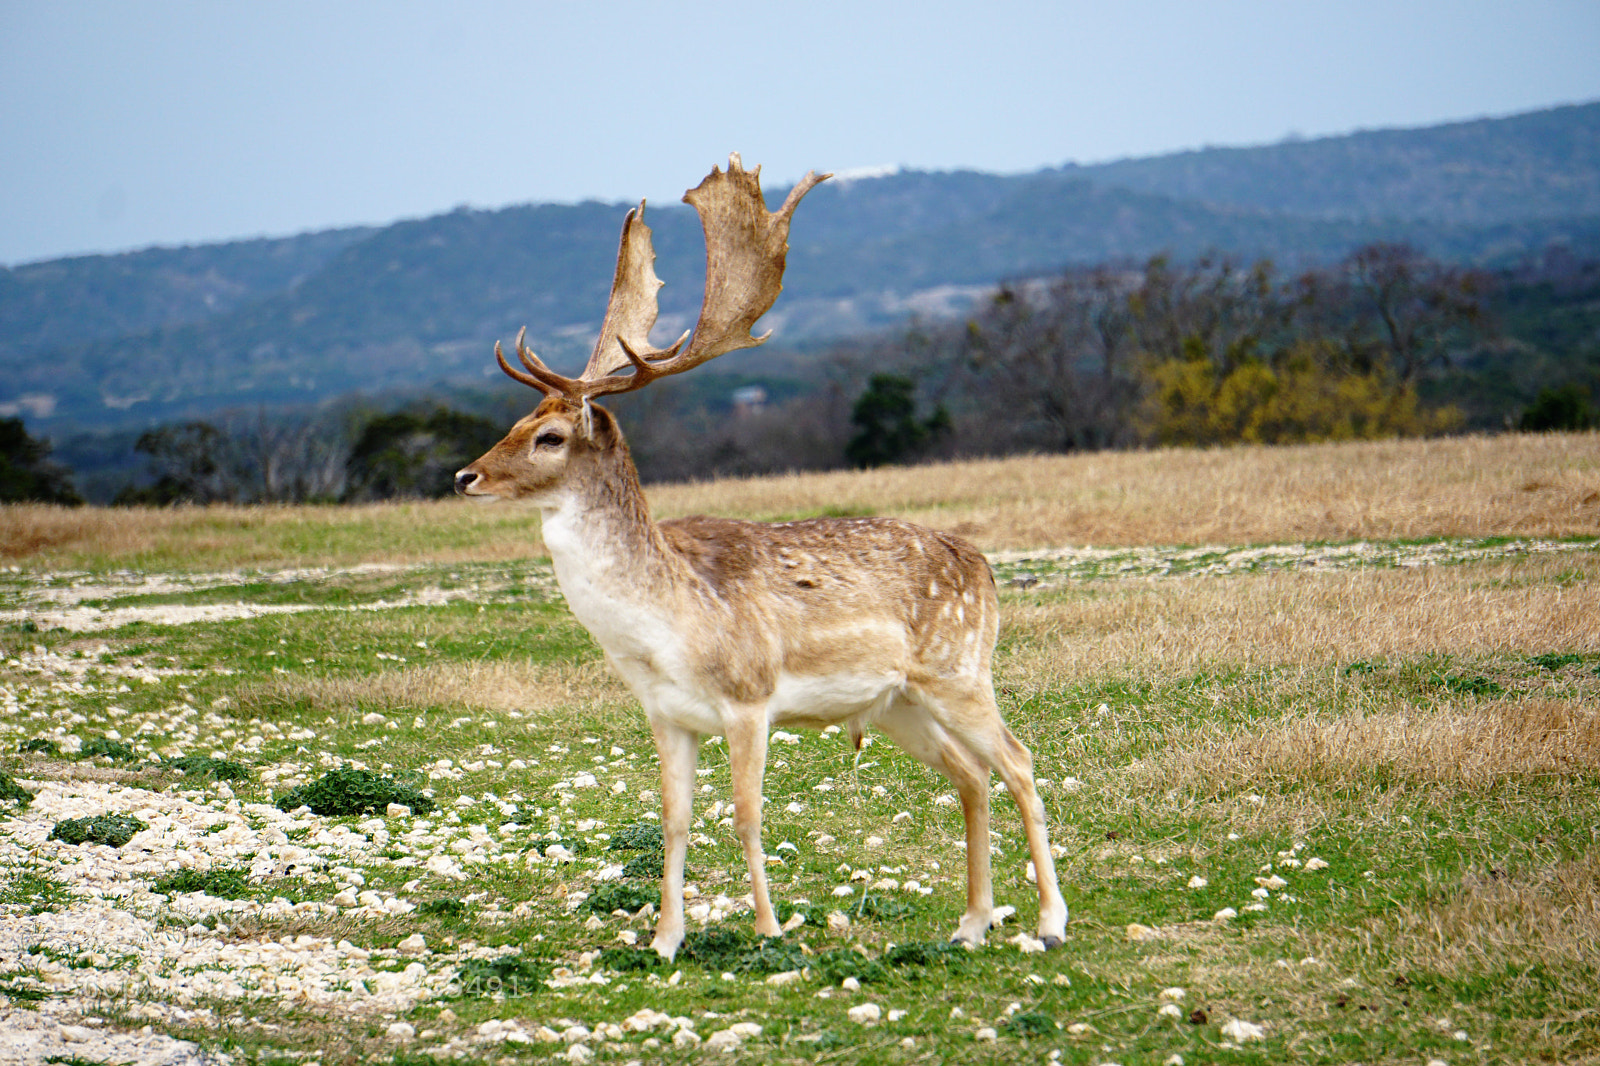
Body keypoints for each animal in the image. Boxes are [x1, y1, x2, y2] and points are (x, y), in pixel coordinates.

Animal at [454, 154, 1068, 958]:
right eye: (517, 420)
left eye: (551, 437)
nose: (464, 476)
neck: (663, 628)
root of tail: (985, 566)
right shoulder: (666, 715)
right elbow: (675, 820)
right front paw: (664, 940)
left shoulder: (750, 698)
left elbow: (747, 815)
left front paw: (770, 930)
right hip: (899, 702)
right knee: (971, 775)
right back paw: (971, 922)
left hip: (960, 668)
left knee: (1018, 761)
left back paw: (1050, 921)